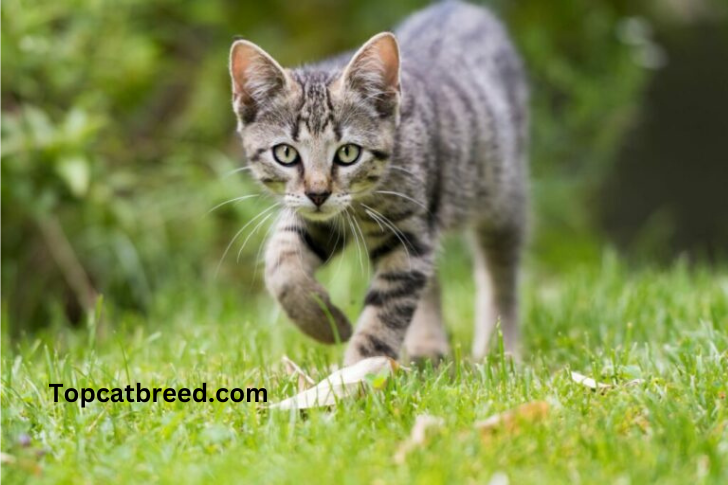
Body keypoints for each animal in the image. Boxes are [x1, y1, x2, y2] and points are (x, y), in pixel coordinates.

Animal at [229, 0, 528, 364]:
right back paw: (428, 346)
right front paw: (325, 322)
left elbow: (385, 313)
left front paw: (361, 371)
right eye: (285, 153)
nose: (318, 193)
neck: (362, 203)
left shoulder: (408, 234)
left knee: (500, 274)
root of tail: (461, 7)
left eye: (348, 153)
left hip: (502, 194)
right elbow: (281, 263)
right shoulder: (321, 219)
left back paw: (500, 351)